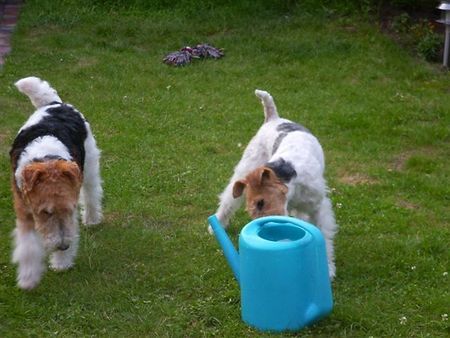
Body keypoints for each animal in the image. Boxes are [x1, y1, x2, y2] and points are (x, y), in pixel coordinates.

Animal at [9, 77, 103, 290]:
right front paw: (28, 278)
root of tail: (55, 104)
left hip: (90, 166)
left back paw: (92, 219)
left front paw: (61, 263)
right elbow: (28, 246)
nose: (63, 246)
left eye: (69, 209)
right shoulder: (24, 208)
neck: (46, 158)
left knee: (92, 194)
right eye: (46, 212)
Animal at [213, 89, 336, 278]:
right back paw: (217, 223)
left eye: (261, 202)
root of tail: (273, 118)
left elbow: (323, 233)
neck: (292, 180)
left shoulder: (318, 207)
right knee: (228, 200)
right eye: (252, 209)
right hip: (245, 168)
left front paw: (328, 268)